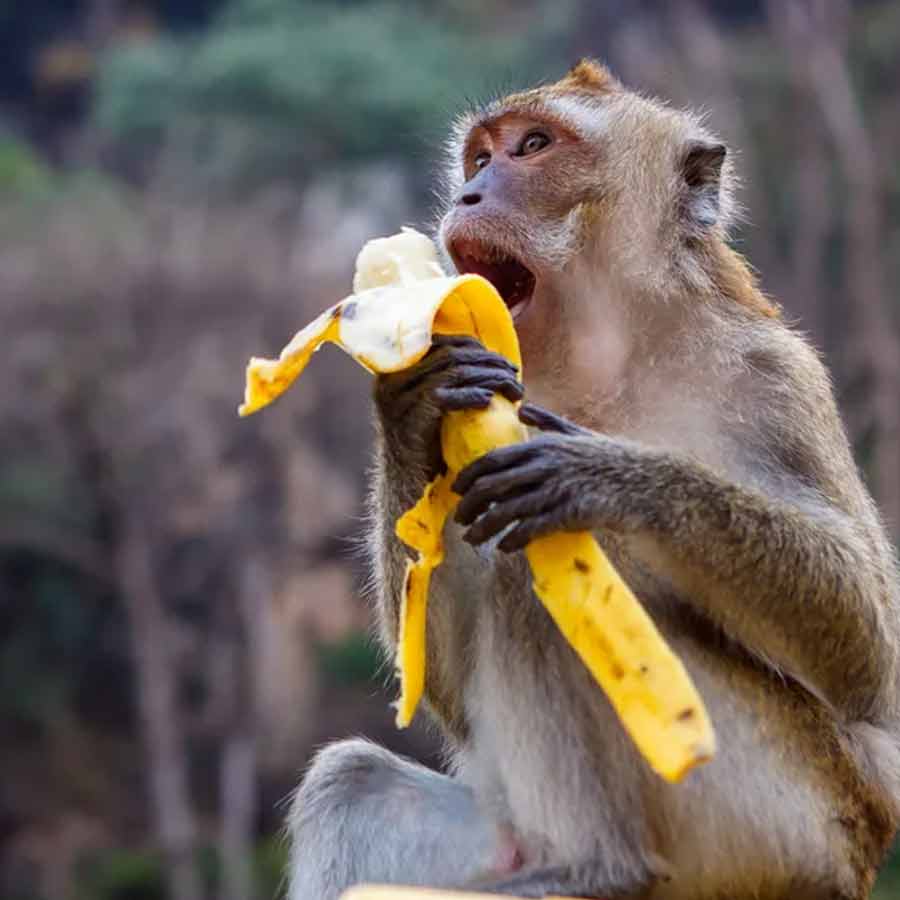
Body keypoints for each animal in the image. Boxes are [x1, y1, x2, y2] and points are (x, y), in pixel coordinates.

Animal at [286, 60, 900, 899]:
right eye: (480, 158)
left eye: (534, 147)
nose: (468, 195)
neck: (605, 357)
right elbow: (441, 685)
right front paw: (411, 398)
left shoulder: (774, 378)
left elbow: (869, 658)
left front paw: (609, 476)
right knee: (350, 782)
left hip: (776, 821)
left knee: (536, 575)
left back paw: (600, 867)